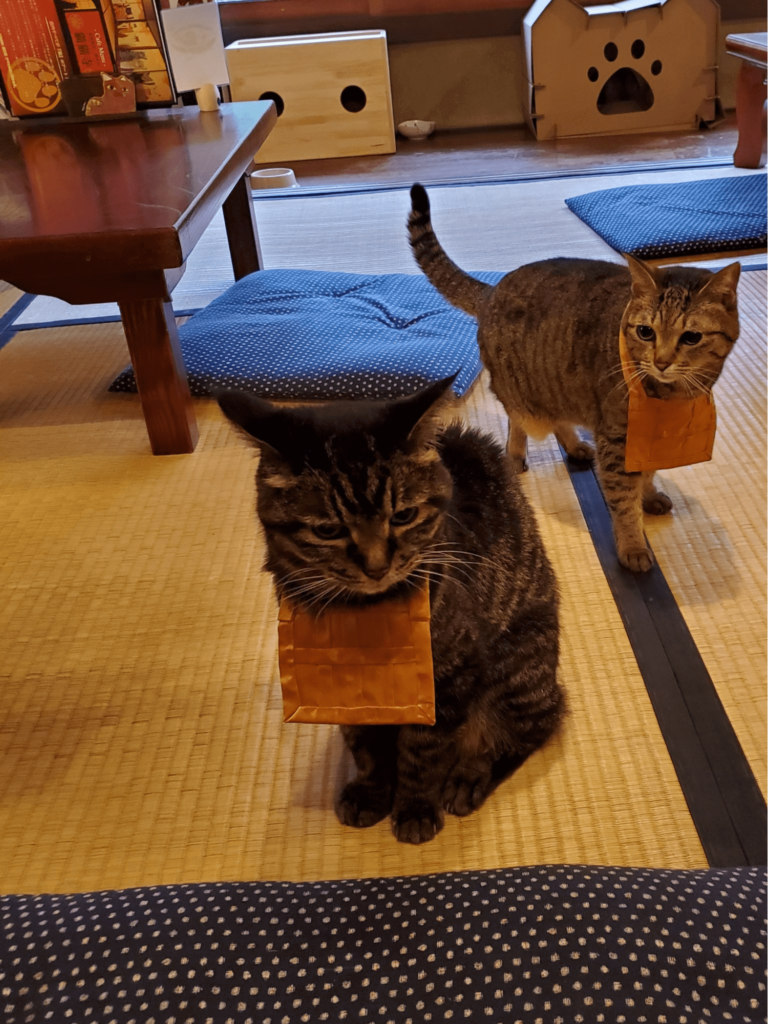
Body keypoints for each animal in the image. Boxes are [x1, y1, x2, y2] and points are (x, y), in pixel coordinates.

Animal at [218, 380, 565, 843]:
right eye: (327, 530)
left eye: (404, 515)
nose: (376, 566)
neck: (363, 616)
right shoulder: (343, 693)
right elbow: (367, 747)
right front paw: (371, 791)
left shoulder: (448, 678)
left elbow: (422, 750)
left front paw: (415, 807)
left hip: (517, 667)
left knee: (530, 729)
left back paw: (468, 777)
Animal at [405, 182, 741, 569]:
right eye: (646, 332)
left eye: (691, 338)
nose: (661, 361)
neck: (671, 399)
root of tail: (492, 290)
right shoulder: (617, 440)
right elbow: (623, 502)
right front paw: (633, 545)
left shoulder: (647, 442)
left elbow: (647, 473)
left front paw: (649, 494)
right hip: (521, 393)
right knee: (517, 421)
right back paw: (515, 455)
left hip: (559, 390)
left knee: (558, 418)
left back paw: (575, 444)